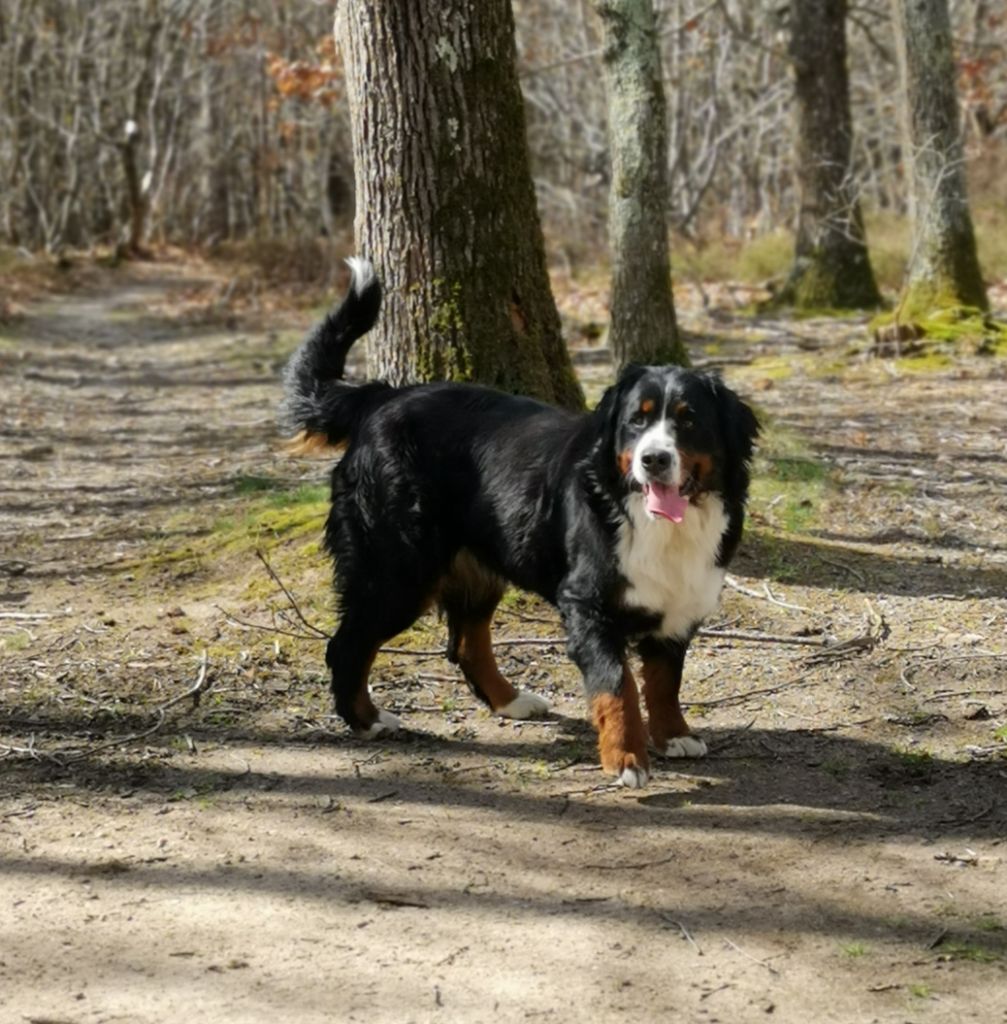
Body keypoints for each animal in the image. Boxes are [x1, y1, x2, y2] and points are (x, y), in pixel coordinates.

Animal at [282, 260, 753, 786]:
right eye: (637, 420)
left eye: (689, 420)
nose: (653, 459)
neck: (656, 522)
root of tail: (380, 398)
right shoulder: (588, 604)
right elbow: (618, 686)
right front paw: (626, 756)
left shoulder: (676, 604)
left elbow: (666, 681)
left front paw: (674, 735)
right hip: (396, 570)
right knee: (347, 645)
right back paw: (367, 720)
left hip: (475, 565)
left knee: (467, 644)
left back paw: (510, 701)